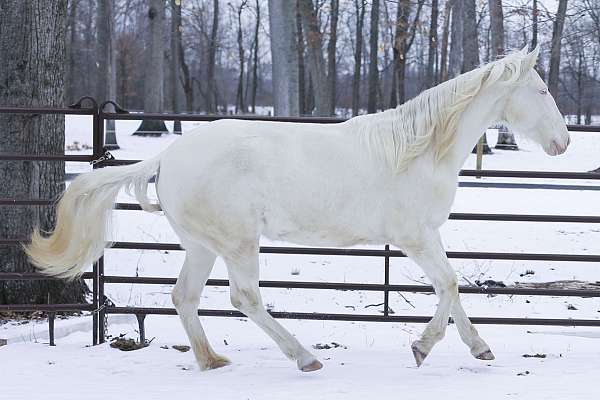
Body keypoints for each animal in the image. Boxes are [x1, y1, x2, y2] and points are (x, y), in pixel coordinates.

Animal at [27, 47, 568, 372]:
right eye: (542, 90)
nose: (562, 142)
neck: (419, 150)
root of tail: (168, 155)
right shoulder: (413, 238)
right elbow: (450, 284)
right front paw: (422, 347)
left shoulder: (427, 236)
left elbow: (450, 287)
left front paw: (480, 347)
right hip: (238, 244)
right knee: (244, 298)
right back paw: (304, 358)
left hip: (203, 246)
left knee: (184, 297)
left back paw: (212, 360)